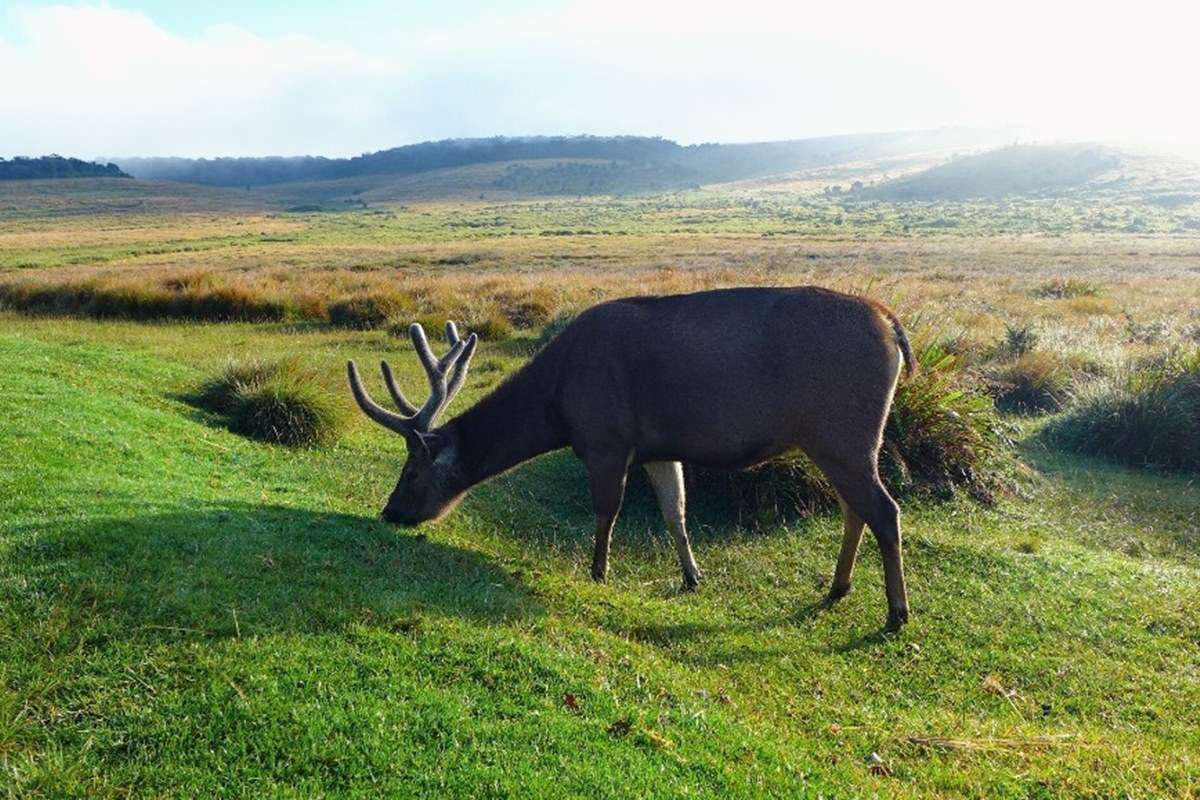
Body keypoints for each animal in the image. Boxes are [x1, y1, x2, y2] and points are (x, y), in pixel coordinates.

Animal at [350, 287, 916, 633]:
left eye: (411, 471)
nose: (390, 512)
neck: (558, 405)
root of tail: (893, 324)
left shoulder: (606, 438)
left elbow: (607, 511)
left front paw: (598, 571)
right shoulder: (659, 448)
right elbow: (675, 513)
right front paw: (692, 576)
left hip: (841, 431)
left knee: (884, 510)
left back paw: (895, 613)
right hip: (841, 439)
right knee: (855, 509)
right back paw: (838, 587)